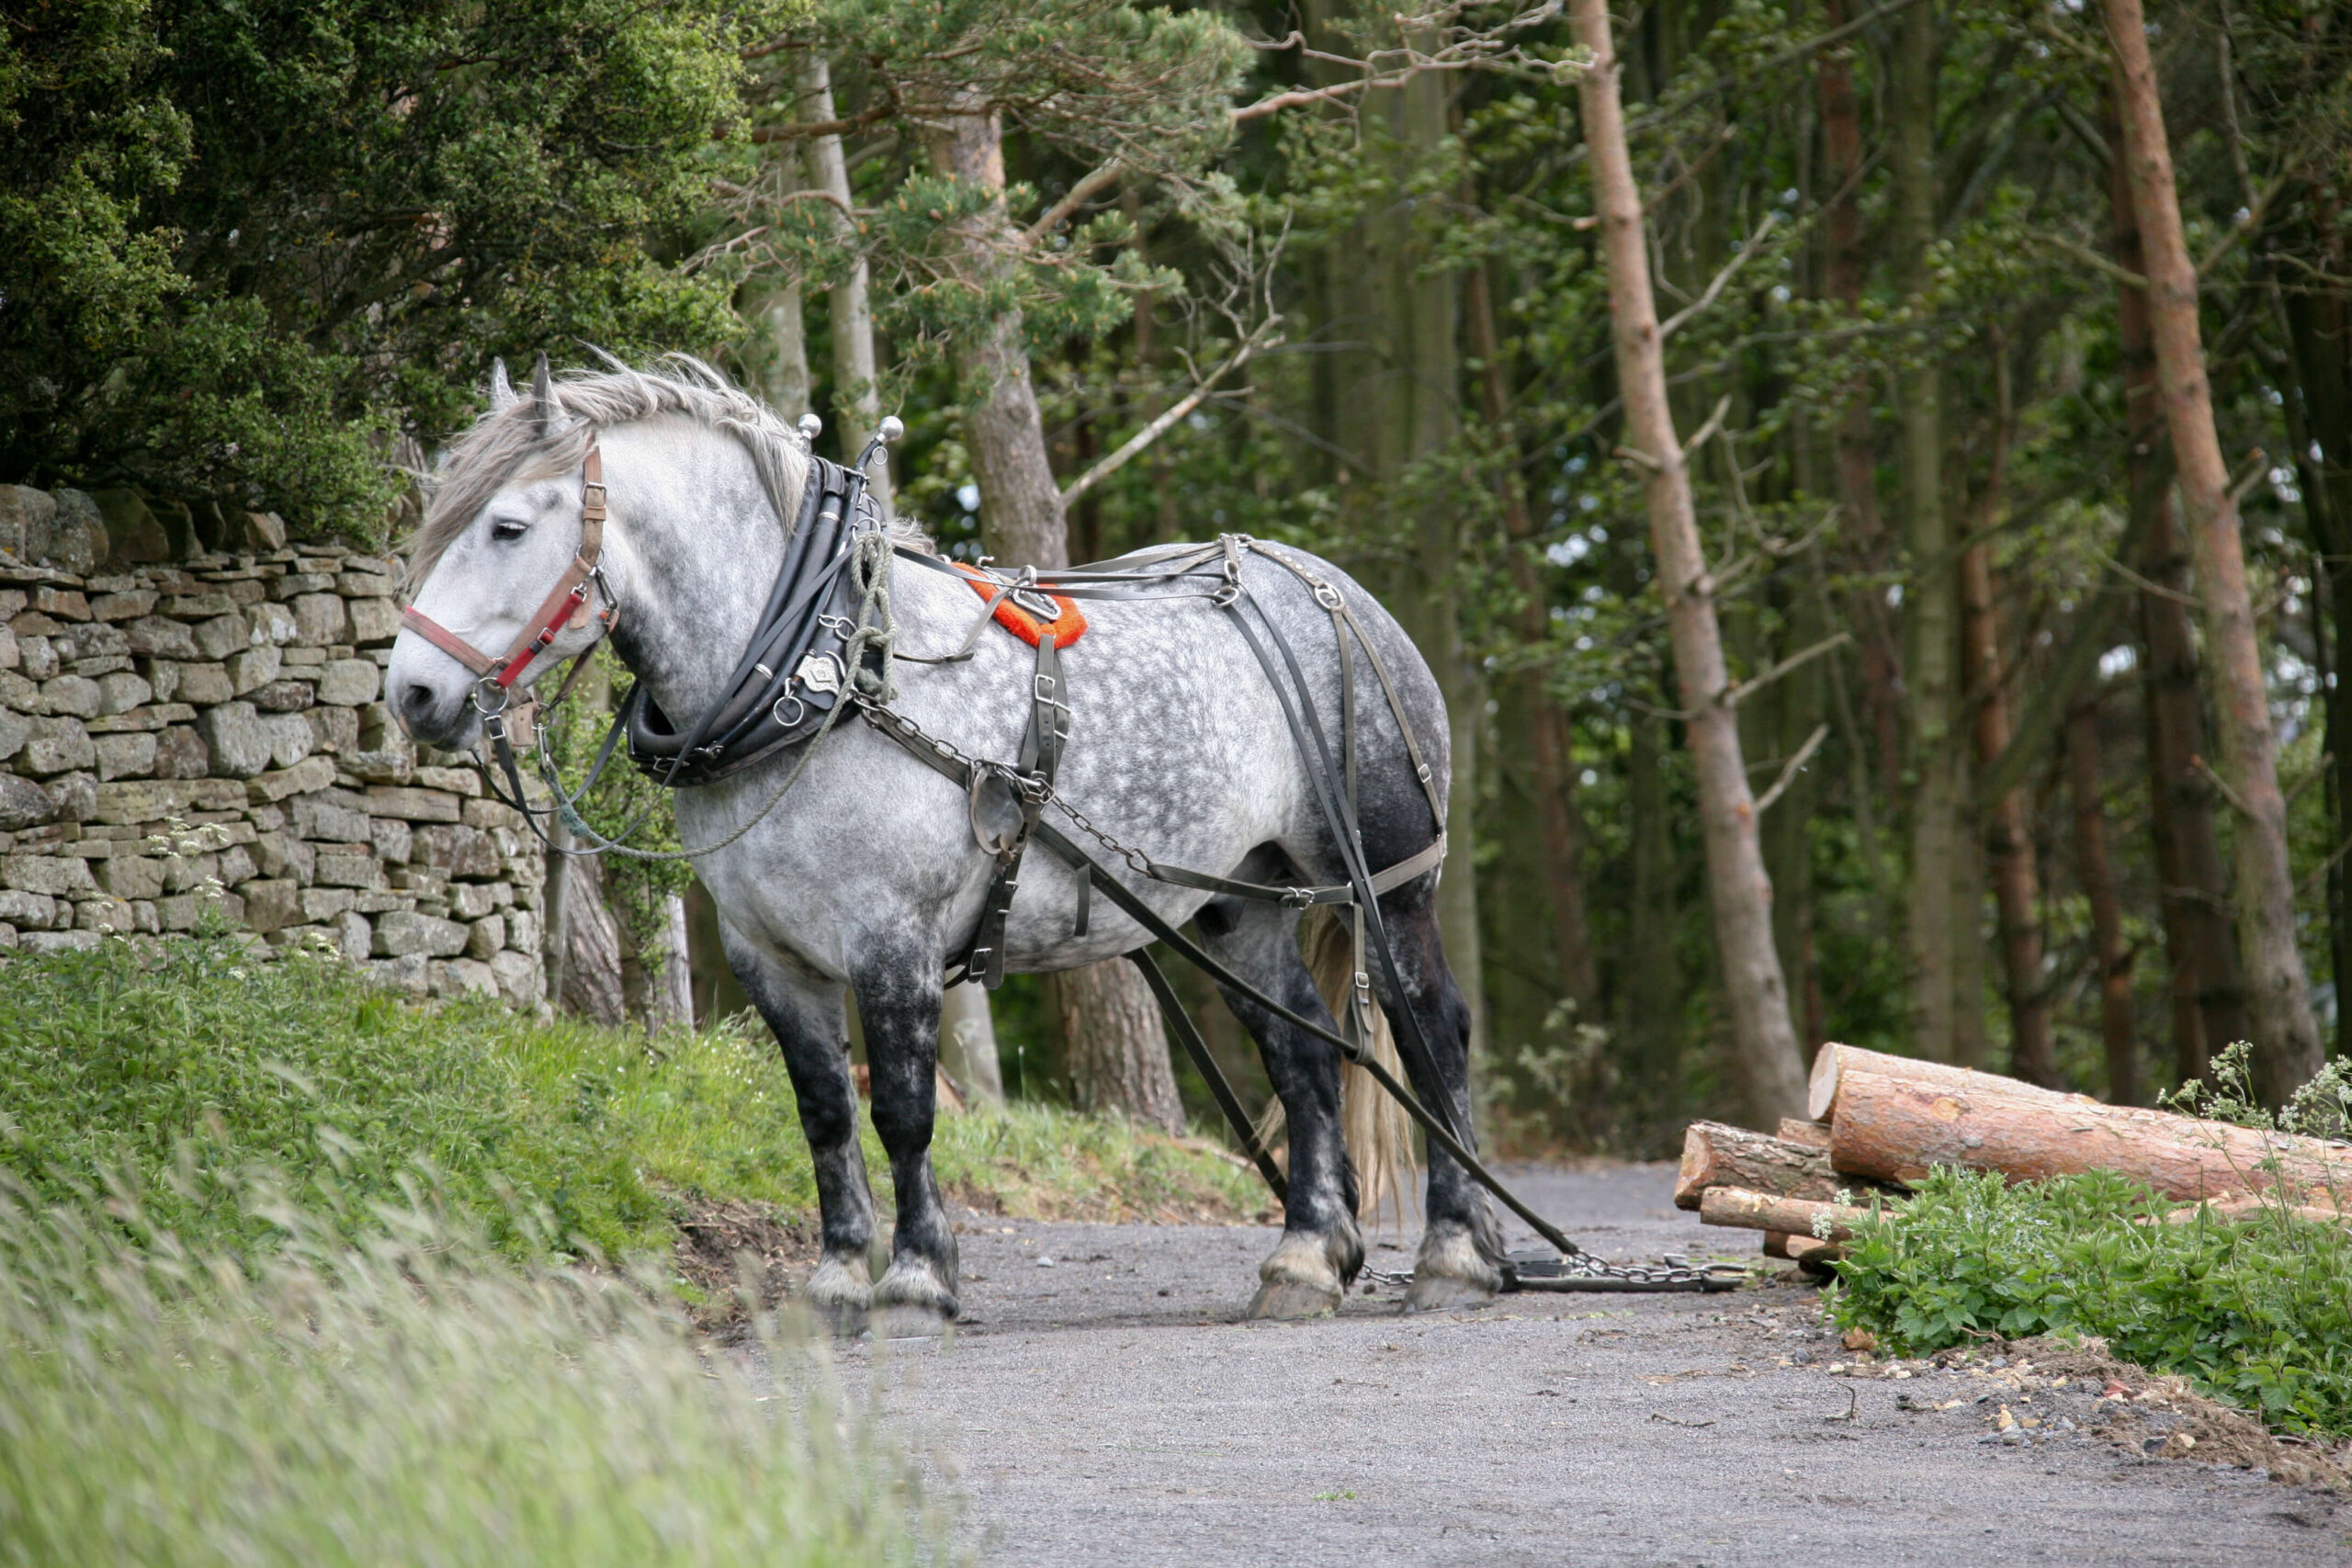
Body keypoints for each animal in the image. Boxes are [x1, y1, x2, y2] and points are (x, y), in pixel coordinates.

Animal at [389, 357, 1503, 1329]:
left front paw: (918, 1281)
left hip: (1390, 880)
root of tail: (1328, 587)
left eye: (506, 525)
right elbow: (825, 1113)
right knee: (1301, 1052)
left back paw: (1455, 1253)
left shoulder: (895, 939)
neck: (829, 676)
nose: (412, 693)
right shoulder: (768, 954)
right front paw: (839, 1280)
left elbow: (903, 1112)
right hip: (1238, 901)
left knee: (1428, 1030)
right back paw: (1306, 1259)